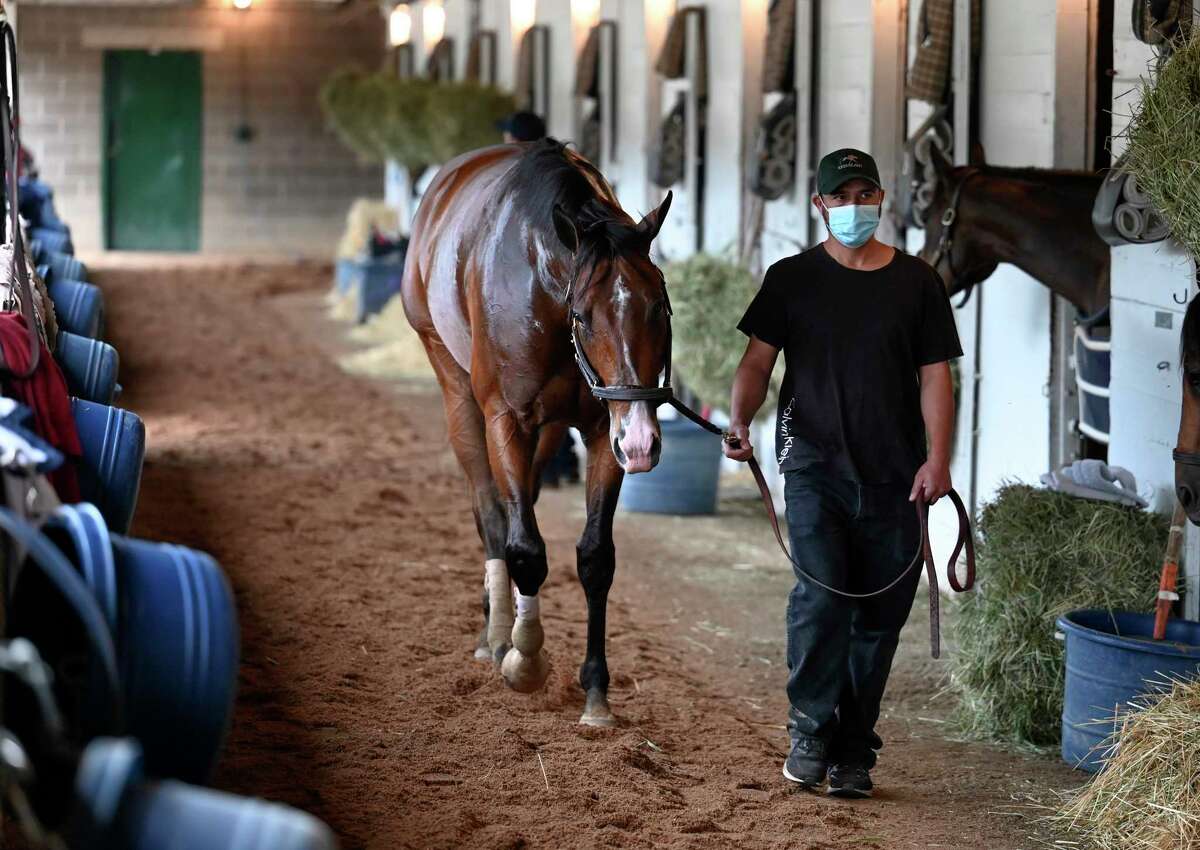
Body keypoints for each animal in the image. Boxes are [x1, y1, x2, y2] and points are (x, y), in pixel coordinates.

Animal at [403, 138, 676, 725]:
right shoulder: (507, 418)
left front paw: (595, 692)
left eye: (660, 308)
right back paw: (495, 636)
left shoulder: (602, 428)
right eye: (585, 314)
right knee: (491, 514)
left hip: (553, 430)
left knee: (519, 501)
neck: (542, 288)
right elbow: (524, 547)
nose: (643, 442)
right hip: (455, 387)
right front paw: (524, 661)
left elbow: (595, 556)